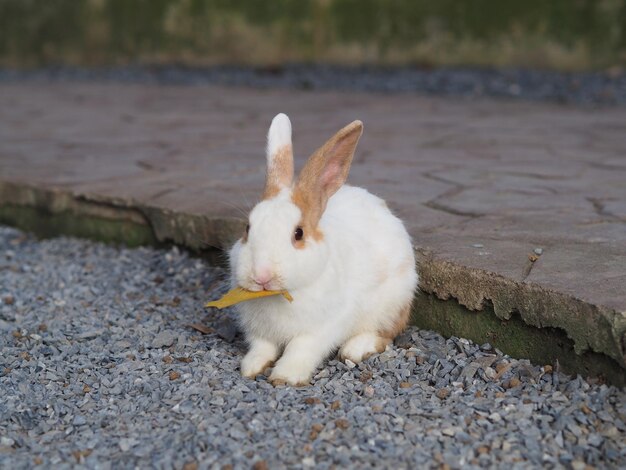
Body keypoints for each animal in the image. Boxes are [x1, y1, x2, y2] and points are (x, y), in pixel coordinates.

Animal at [227, 113, 416, 386]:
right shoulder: (259, 332)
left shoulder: (320, 330)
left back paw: (355, 349)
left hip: (391, 305)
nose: (261, 276)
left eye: (298, 233)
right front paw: (251, 368)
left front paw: (285, 377)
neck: (283, 294)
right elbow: (262, 347)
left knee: (384, 334)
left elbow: (299, 349)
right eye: (247, 228)